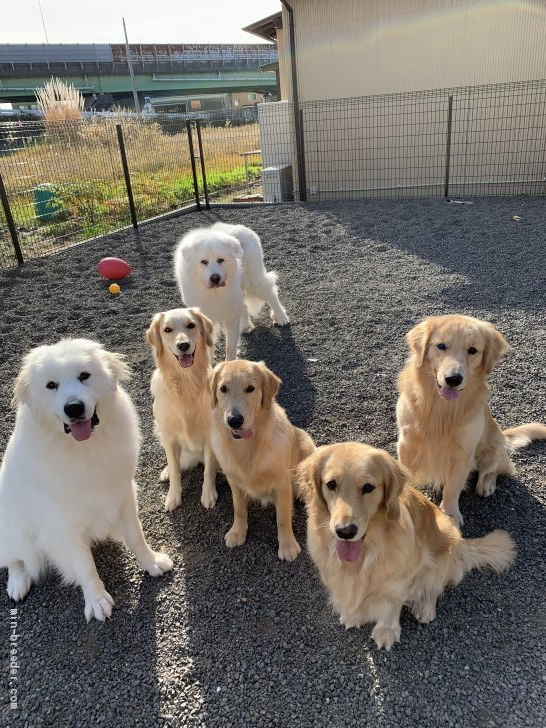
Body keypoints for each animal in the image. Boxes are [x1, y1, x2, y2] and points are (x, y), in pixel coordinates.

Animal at [0, 340, 172, 620]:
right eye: (51, 385)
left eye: (84, 376)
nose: (74, 407)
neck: (83, 448)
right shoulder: (64, 522)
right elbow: (85, 566)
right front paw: (97, 601)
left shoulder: (124, 494)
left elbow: (136, 537)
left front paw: (152, 562)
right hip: (12, 529)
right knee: (15, 558)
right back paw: (17, 583)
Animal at [173, 220, 288, 360]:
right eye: (203, 262)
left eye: (221, 260)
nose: (215, 278)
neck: (214, 293)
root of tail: (239, 227)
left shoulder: (231, 316)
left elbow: (231, 347)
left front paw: (230, 362)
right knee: (244, 305)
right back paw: (246, 326)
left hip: (254, 282)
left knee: (271, 294)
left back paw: (281, 317)